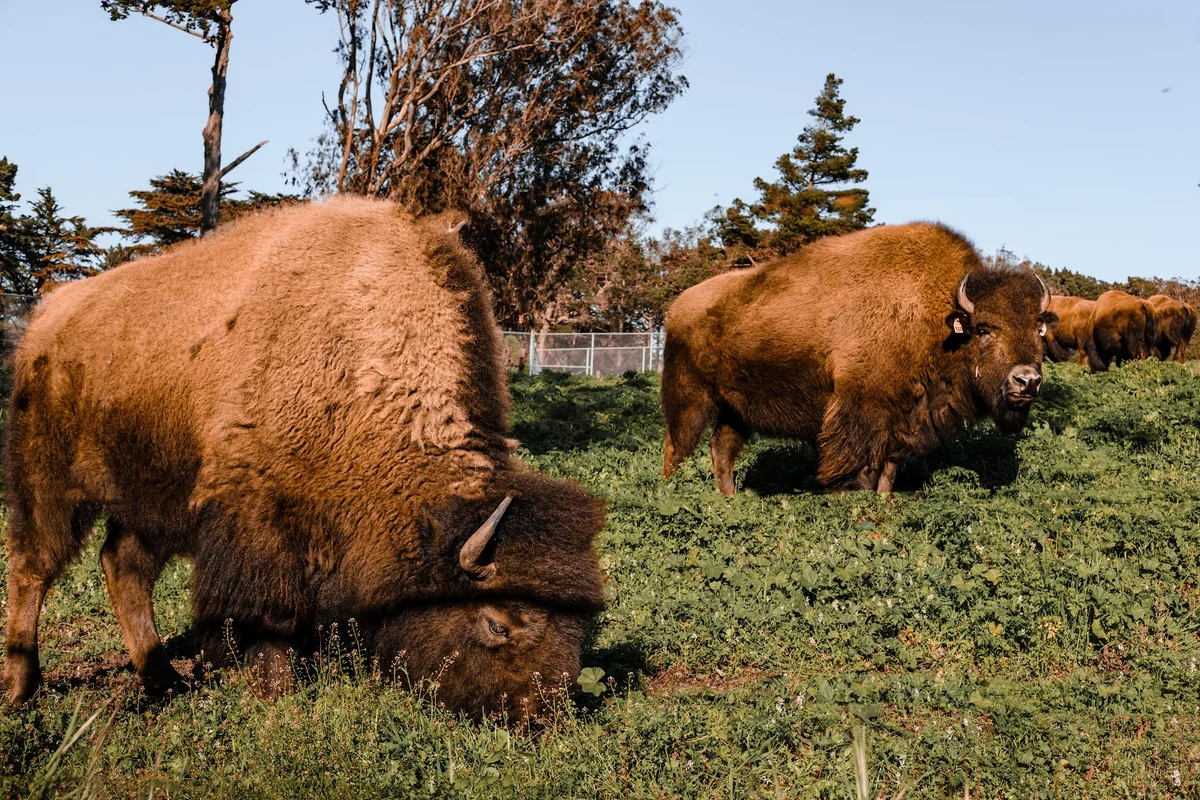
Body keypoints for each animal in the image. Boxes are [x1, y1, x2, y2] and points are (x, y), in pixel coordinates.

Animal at [3, 198, 605, 718]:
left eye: (579, 632)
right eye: (499, 624)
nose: (538, 718)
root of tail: (48, 317)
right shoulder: (257, 523)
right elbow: (271, 617)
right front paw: (276, 693)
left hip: (153, 500)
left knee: (123, 567)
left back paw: (163, 680)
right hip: (49, 481)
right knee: (34, 567)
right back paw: (22, 688)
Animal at [661, 222, 1054, 496]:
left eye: (1038, 329)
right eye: (984, 329)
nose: (1027, 380)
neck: (936, 315)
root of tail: (678, 305)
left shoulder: (904, 422)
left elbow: (887, 472)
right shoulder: (860, 414)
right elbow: (856, 470)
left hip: (735, 410)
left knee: (721, 449)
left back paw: (729, 499)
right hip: (690, 399)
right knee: (676, 448)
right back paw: (669, 493)